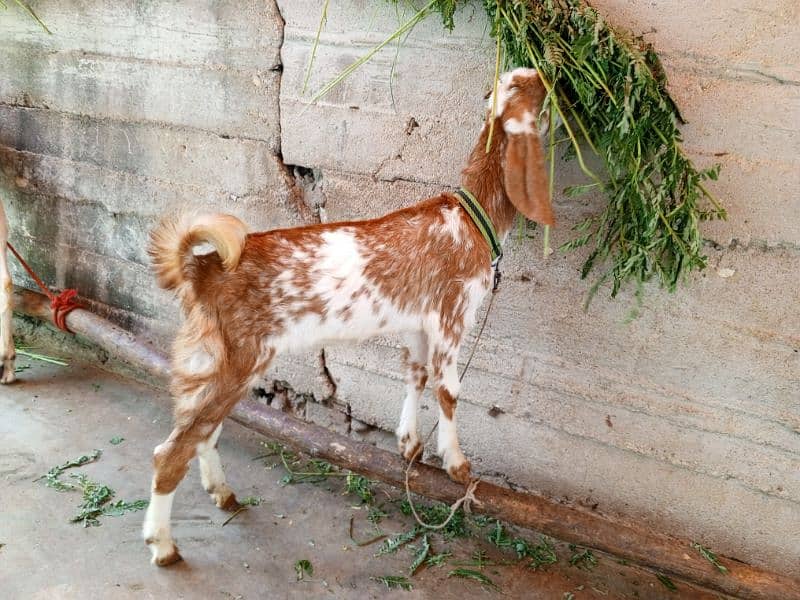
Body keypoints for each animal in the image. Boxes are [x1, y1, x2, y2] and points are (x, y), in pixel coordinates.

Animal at [144, 68, 552, 564]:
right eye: (544, 96)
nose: (556, 80)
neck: (470, 218)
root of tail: (201, 269)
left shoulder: (418, 325)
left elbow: (416, 374)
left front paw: (408, 444)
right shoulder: (450, 318)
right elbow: (449, 390)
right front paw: (456, 464)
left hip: (215, 365)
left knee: (202, 433)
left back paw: (221, 493)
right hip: (234, 362)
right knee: (170, 452)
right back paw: (163, 544)